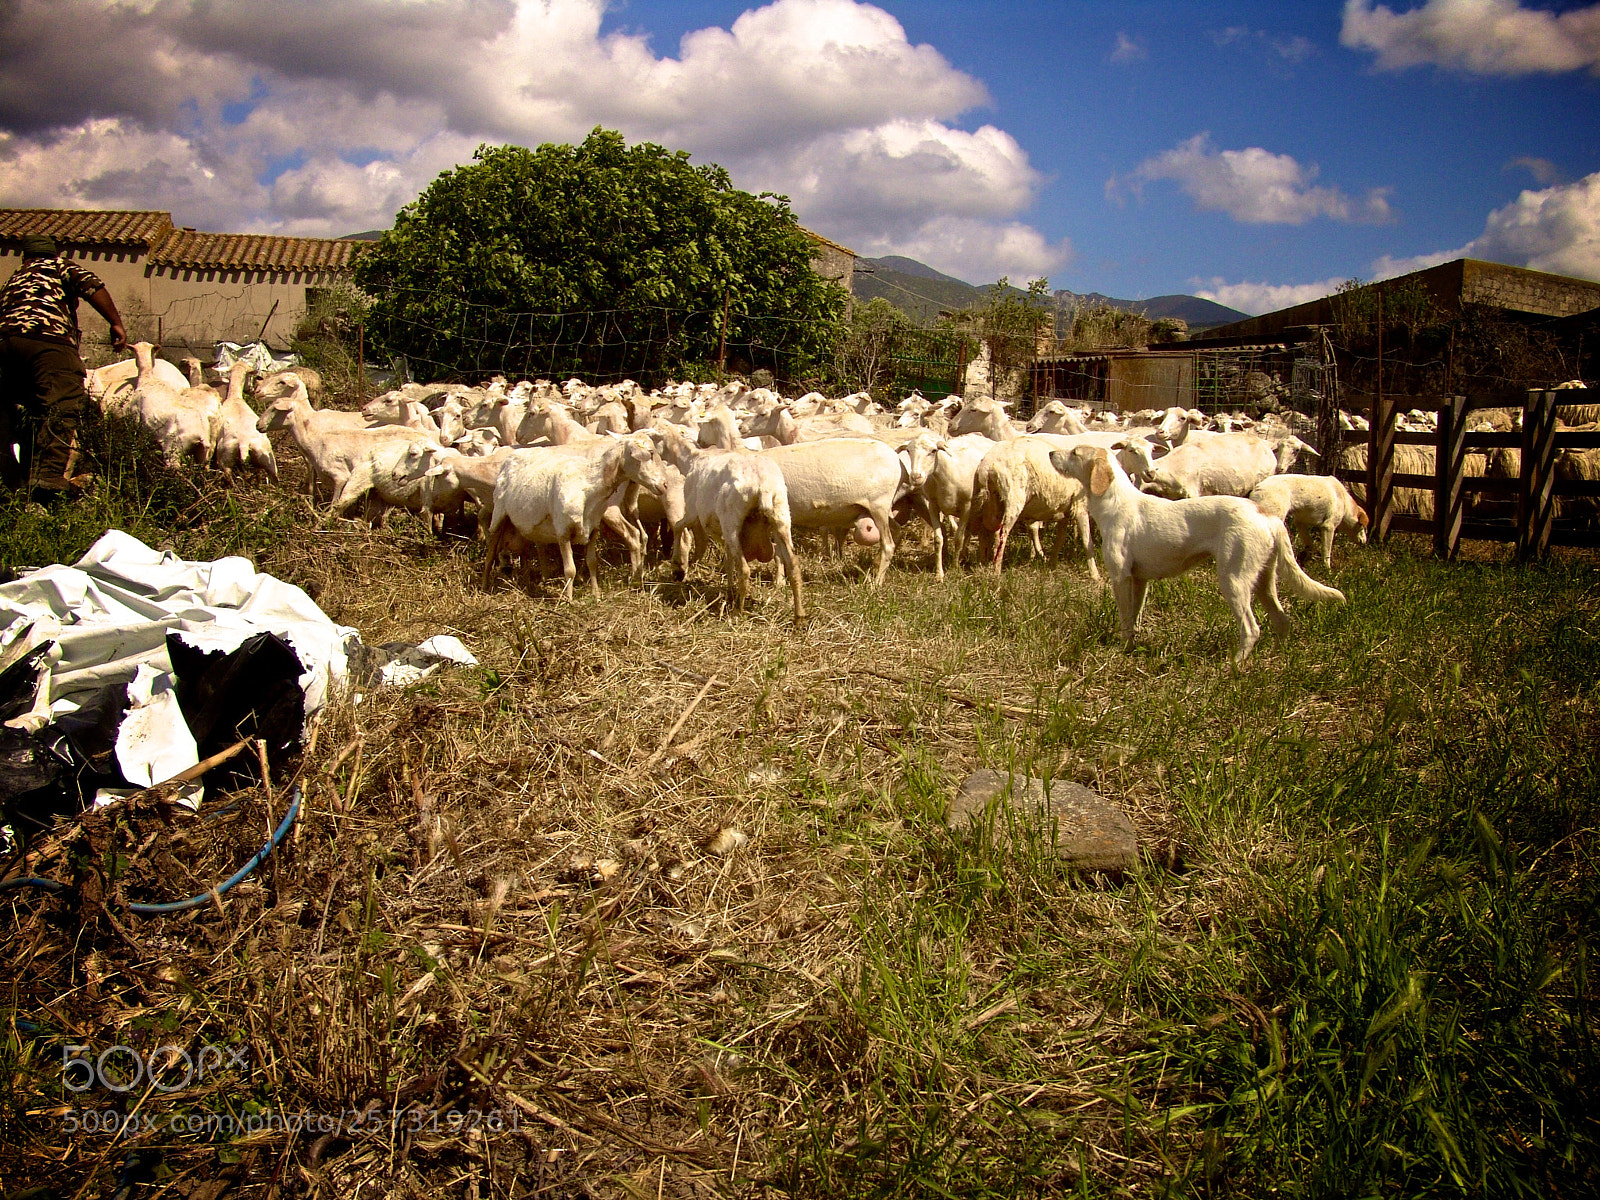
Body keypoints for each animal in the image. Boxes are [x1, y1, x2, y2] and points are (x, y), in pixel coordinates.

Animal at [1049, 448, 1337, 668]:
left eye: (1075, 453)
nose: (1051, 452)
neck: (1116, 502)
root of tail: (1266, 515)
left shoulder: (1120, 577)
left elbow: (1125, 618)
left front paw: (1121, 650)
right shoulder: (1140, 580)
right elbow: (1135, 619)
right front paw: (1131, 648)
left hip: (1234, 581)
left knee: (1252, 629)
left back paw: (1234, 665)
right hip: (1264, 582)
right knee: (1282, 620)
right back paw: (1277, 658)